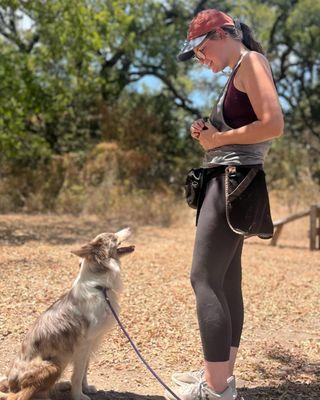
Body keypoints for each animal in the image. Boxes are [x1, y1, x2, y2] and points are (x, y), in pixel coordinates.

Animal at [0, 228, 134, 400]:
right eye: (113, 236)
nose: (129, 228)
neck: (99, 287)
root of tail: (10, 383)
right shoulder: (83, 345)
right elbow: (77, 375)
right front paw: (78, 395)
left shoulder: (90, 345)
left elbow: (84, 371)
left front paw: (86, 388)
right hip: (54, 365)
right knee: (21, 395)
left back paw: (62, 385)